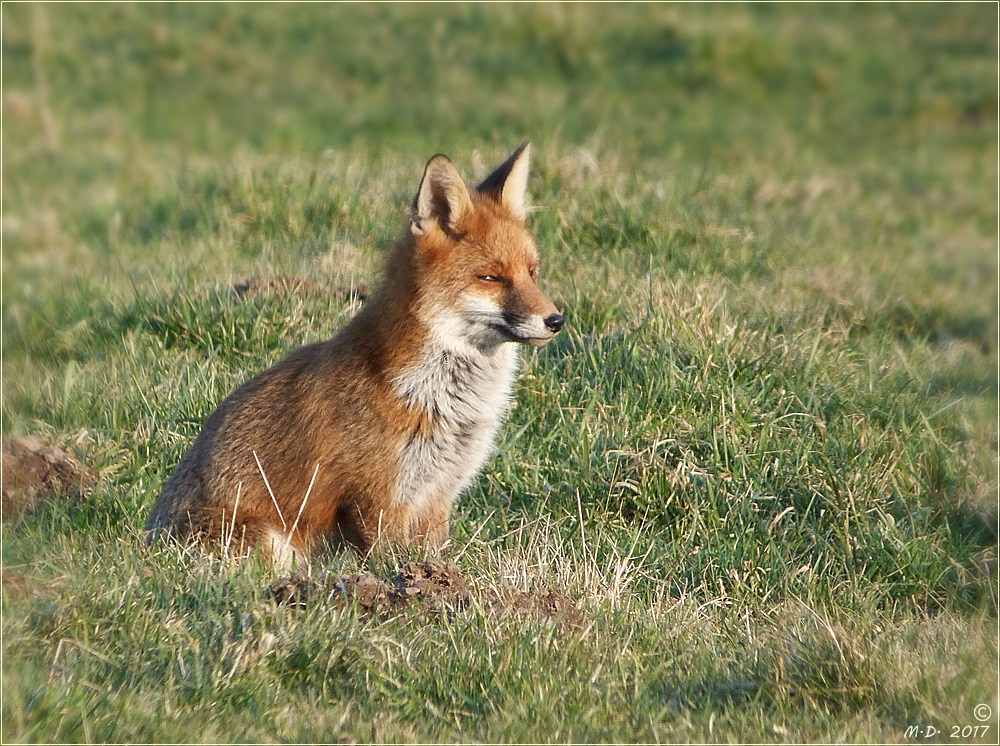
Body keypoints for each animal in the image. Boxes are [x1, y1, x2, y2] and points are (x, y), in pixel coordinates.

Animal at [143, 142, 564, 568]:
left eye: (532, 272)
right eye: (491, 277)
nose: (556, 320)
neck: (435, 397)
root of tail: (147, 541)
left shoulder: (436, 495)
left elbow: (435, 554)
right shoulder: (377, 499)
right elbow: (391, 559)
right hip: (268, 541)